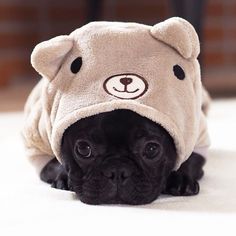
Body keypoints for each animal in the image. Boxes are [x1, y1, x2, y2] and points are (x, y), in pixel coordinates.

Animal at [40, 109, 205, 205]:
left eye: (152, 149)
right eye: (83, 148)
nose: (117, 171)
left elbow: (187, 158)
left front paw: (181, 179)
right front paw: (63, 177)